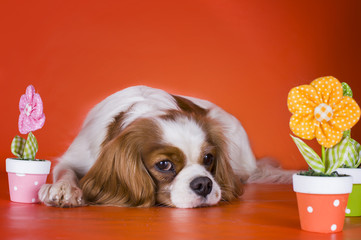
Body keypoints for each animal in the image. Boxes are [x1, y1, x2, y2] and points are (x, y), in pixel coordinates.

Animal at [38, 85, 292, 207]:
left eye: (208, 159)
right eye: (164, 165)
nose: (204, 184)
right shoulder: (76, 156)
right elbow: (64, 171)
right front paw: (62, 189)